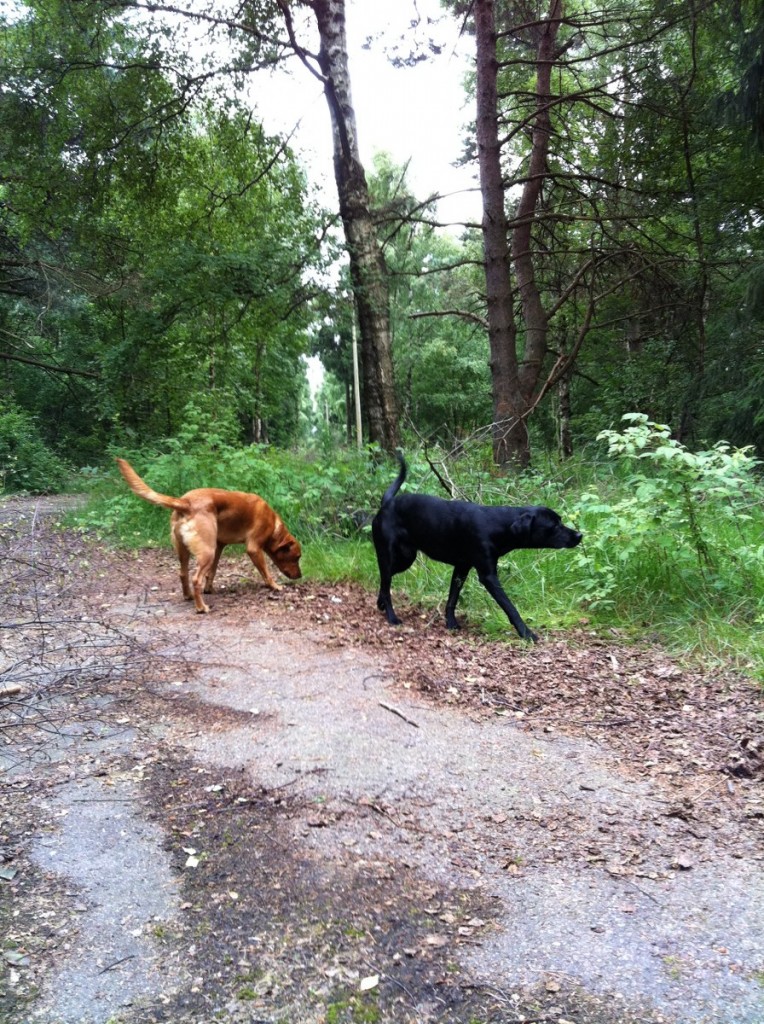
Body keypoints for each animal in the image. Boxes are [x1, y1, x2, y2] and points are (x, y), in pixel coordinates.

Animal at [116, 460, 301, 610]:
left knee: (183, 574)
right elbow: (266, 573)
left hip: (188, 550)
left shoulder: (219, 546)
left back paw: (189, 596)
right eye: (296, 557)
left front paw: (209, 589)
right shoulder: (254, 549)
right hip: (207, 552)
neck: (273, 526)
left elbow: (212, 572)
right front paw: (275, 586)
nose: (300, 576)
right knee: (195, 579)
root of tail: (185, 502)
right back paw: (201, 607)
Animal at [372, 454, 581, 638]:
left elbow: (452, 598)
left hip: (406, 558)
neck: (498, 525)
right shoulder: (488, 576)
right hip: (388, 555)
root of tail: (387, 504)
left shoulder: (462, 567)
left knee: (384, 581)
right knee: (386, 584)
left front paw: (450, 622)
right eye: (554, 526)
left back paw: (380, 603)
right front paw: (526, 633)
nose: (579, 535)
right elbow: (510, 607)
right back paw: (391, 616)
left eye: (560, 521)